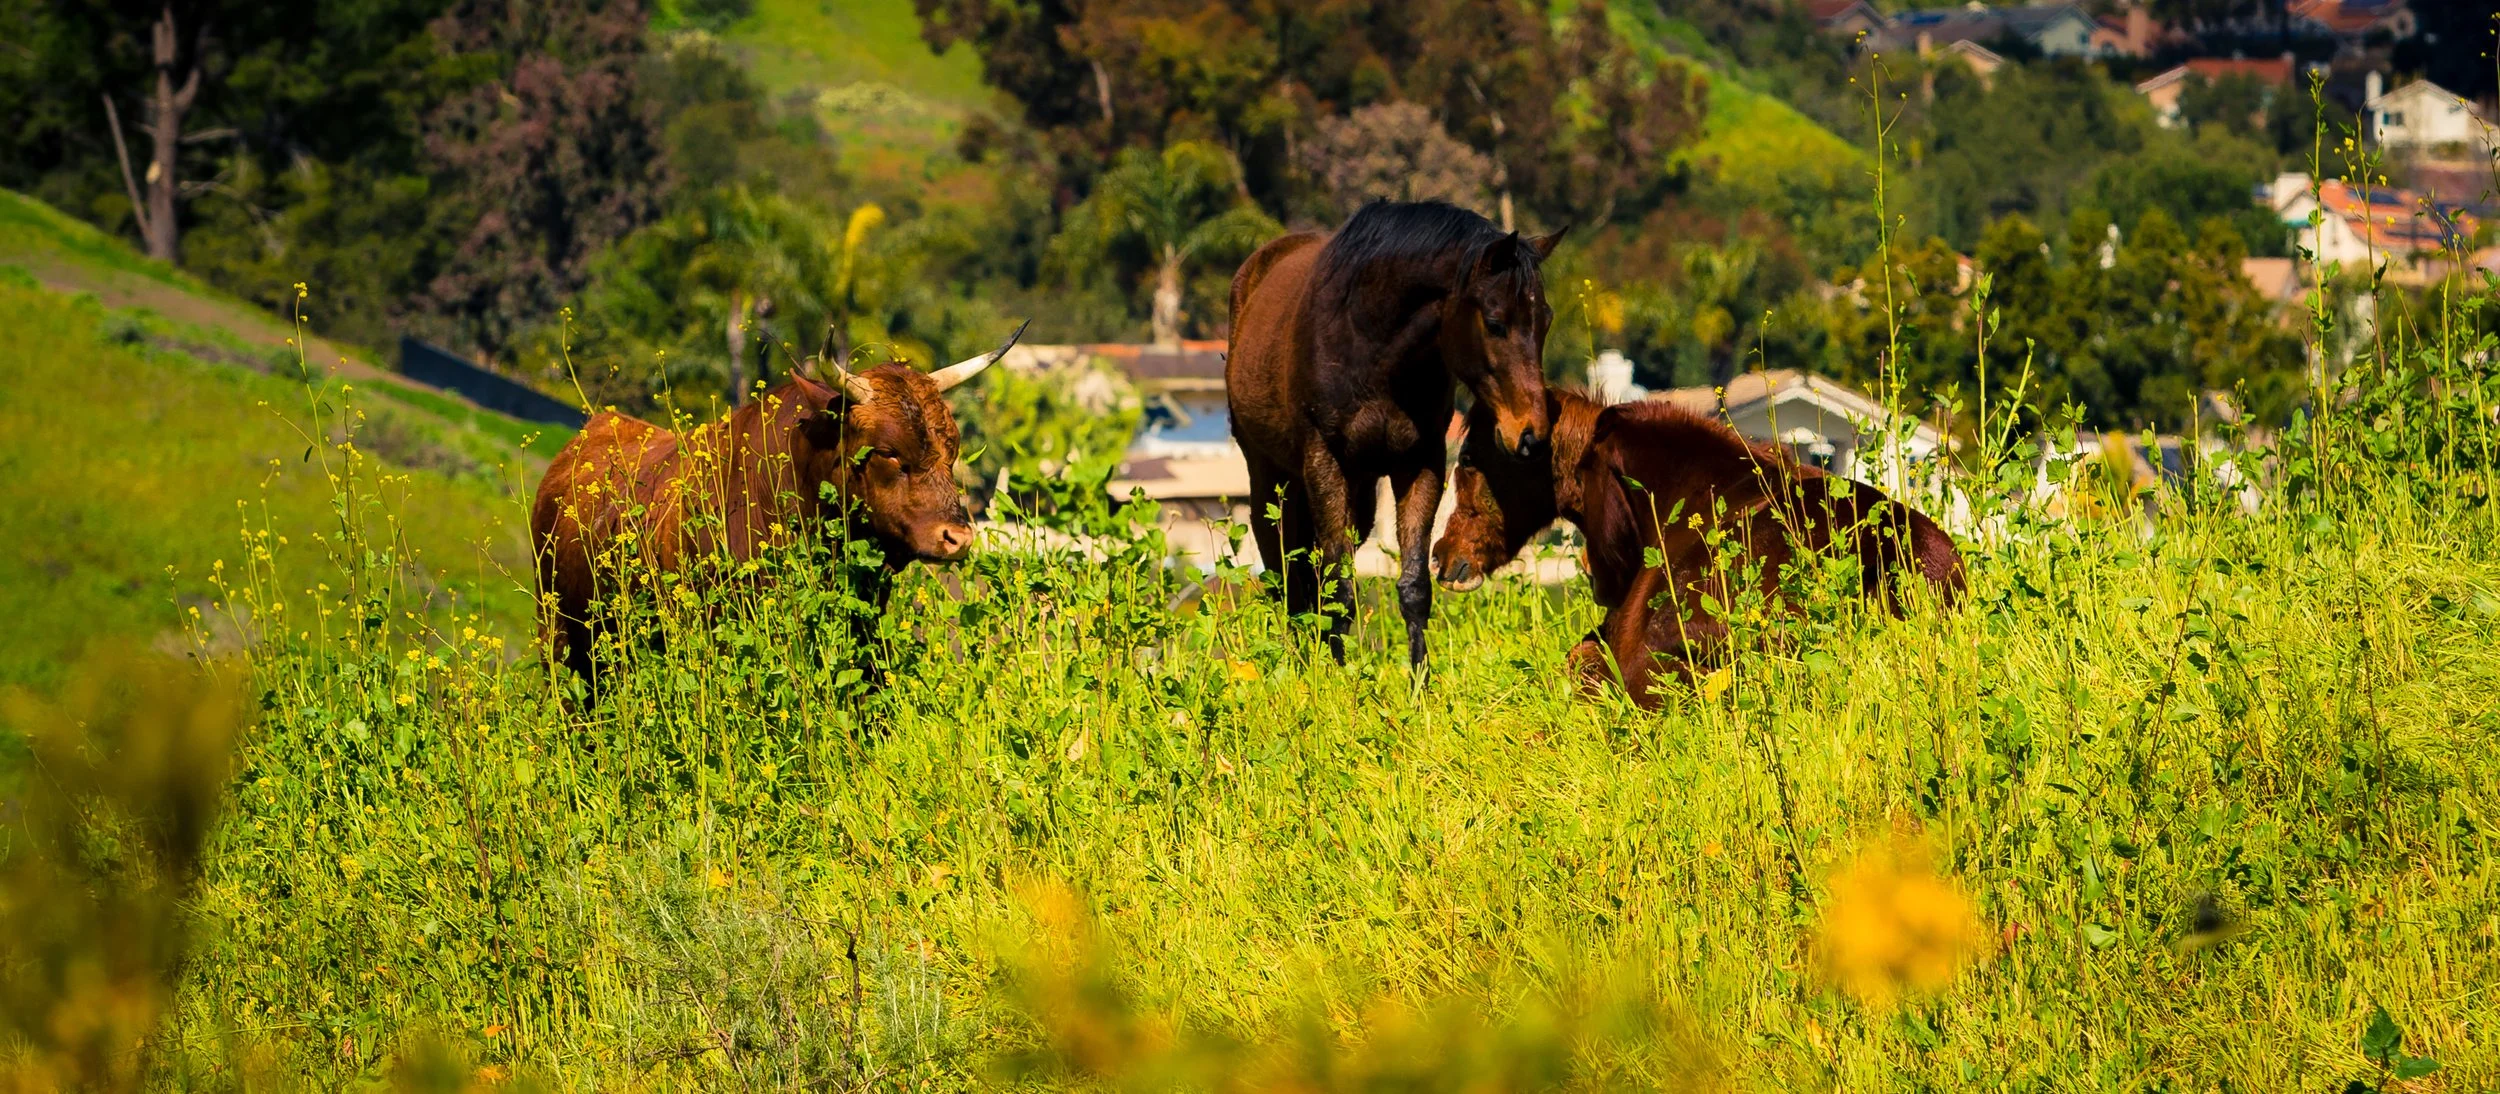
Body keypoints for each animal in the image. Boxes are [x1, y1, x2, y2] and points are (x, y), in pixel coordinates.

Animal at [1225, 200, 1567, 668]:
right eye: (1495, 322)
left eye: (1546, 320)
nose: (1531, 435)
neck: (1373, 350)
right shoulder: (1324, 462)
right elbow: (1337, 588)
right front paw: (1338, 677)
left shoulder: (1420, 463)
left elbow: (1413, 587)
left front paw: (1419, 681)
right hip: (1269, 479)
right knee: (1285, 576)